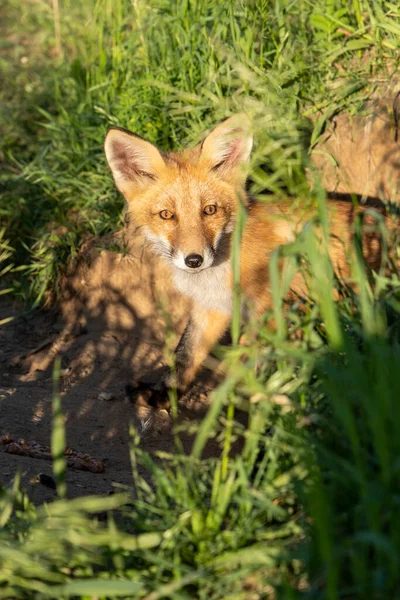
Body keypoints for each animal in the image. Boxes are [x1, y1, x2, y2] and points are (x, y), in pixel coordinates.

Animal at [104, 115, 394, 406]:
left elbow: (257, 361)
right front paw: (168, 393)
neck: (220, 273)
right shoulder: (211, 307)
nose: (194, 260)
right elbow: (186, 353)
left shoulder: (274, 309)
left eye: (210, 210)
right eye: (167, 215)